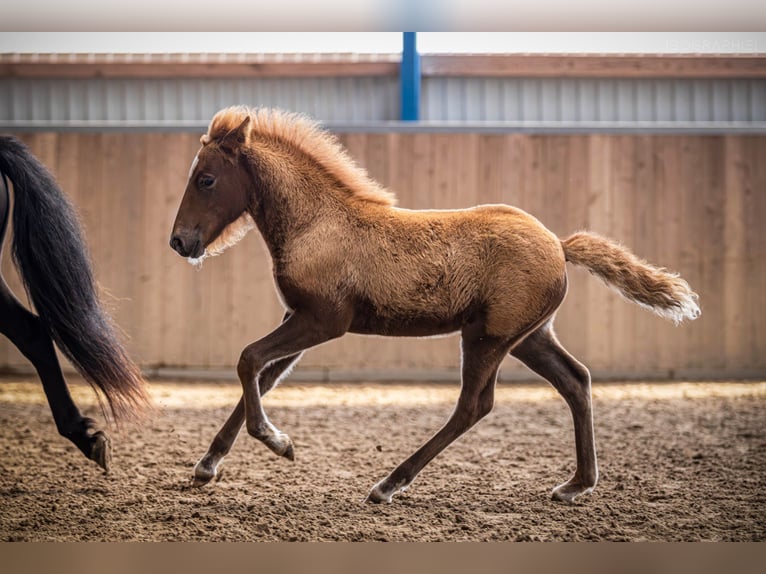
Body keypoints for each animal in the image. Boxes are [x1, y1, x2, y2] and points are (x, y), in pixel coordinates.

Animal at [169, 106, 700, 503]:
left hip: (487, 336)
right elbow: (261, 376)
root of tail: (559, 244)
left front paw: (277, 442)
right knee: (576, 381)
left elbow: (249, 360)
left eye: (207, 179)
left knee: (474, 405)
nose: (179, 242)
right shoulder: (299, 319)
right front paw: (208, 464)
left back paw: (388, 484)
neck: (318, 223)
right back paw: (576, 485)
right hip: (528, 336)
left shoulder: (322, 320)